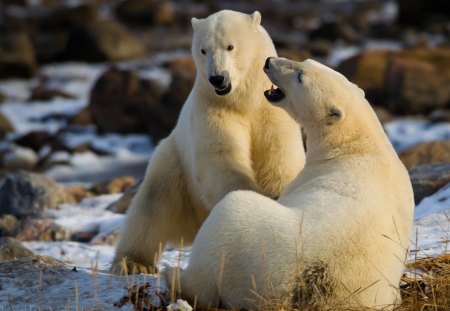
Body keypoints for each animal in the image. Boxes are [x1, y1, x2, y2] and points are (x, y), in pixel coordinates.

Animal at [111, 11, 306, 274]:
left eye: (230, 46)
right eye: (203, 50)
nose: (217, 78)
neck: (243, 101)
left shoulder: (273, 113)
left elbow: (280, 156)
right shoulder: (213, 110)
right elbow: (220, 157)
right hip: (173, 164)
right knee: (152, 206)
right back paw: (133, 263)